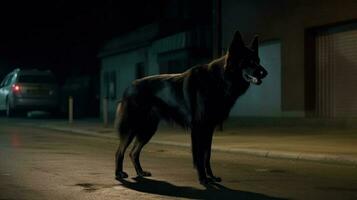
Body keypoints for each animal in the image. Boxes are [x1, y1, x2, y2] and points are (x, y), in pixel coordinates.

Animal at [114, 30, 268, 185]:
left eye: (258, 60)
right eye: (249, 61)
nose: (265, 73)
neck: (219, 79)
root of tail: (128, 88)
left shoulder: (209, 129)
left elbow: (207, 155)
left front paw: (211, 177)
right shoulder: (199, 128)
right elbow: (199, 157)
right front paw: (203, 179)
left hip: (148, 129)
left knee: (133, 152)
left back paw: (140, 172)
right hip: (132, 128)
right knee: (119, 151)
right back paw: (119, 174)